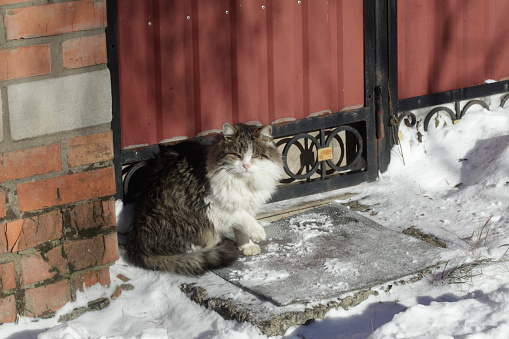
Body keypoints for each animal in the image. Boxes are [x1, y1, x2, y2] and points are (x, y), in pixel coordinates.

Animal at [127, 122, 284, 276]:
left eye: (255, 155)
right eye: (236, 155)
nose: (246, 166)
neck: (243, 181)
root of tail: (137, 246)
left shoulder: (243, 203)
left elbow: (242, 229)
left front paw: (247, 246)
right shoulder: (215, 207)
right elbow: (244, 219)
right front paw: (259, 233)